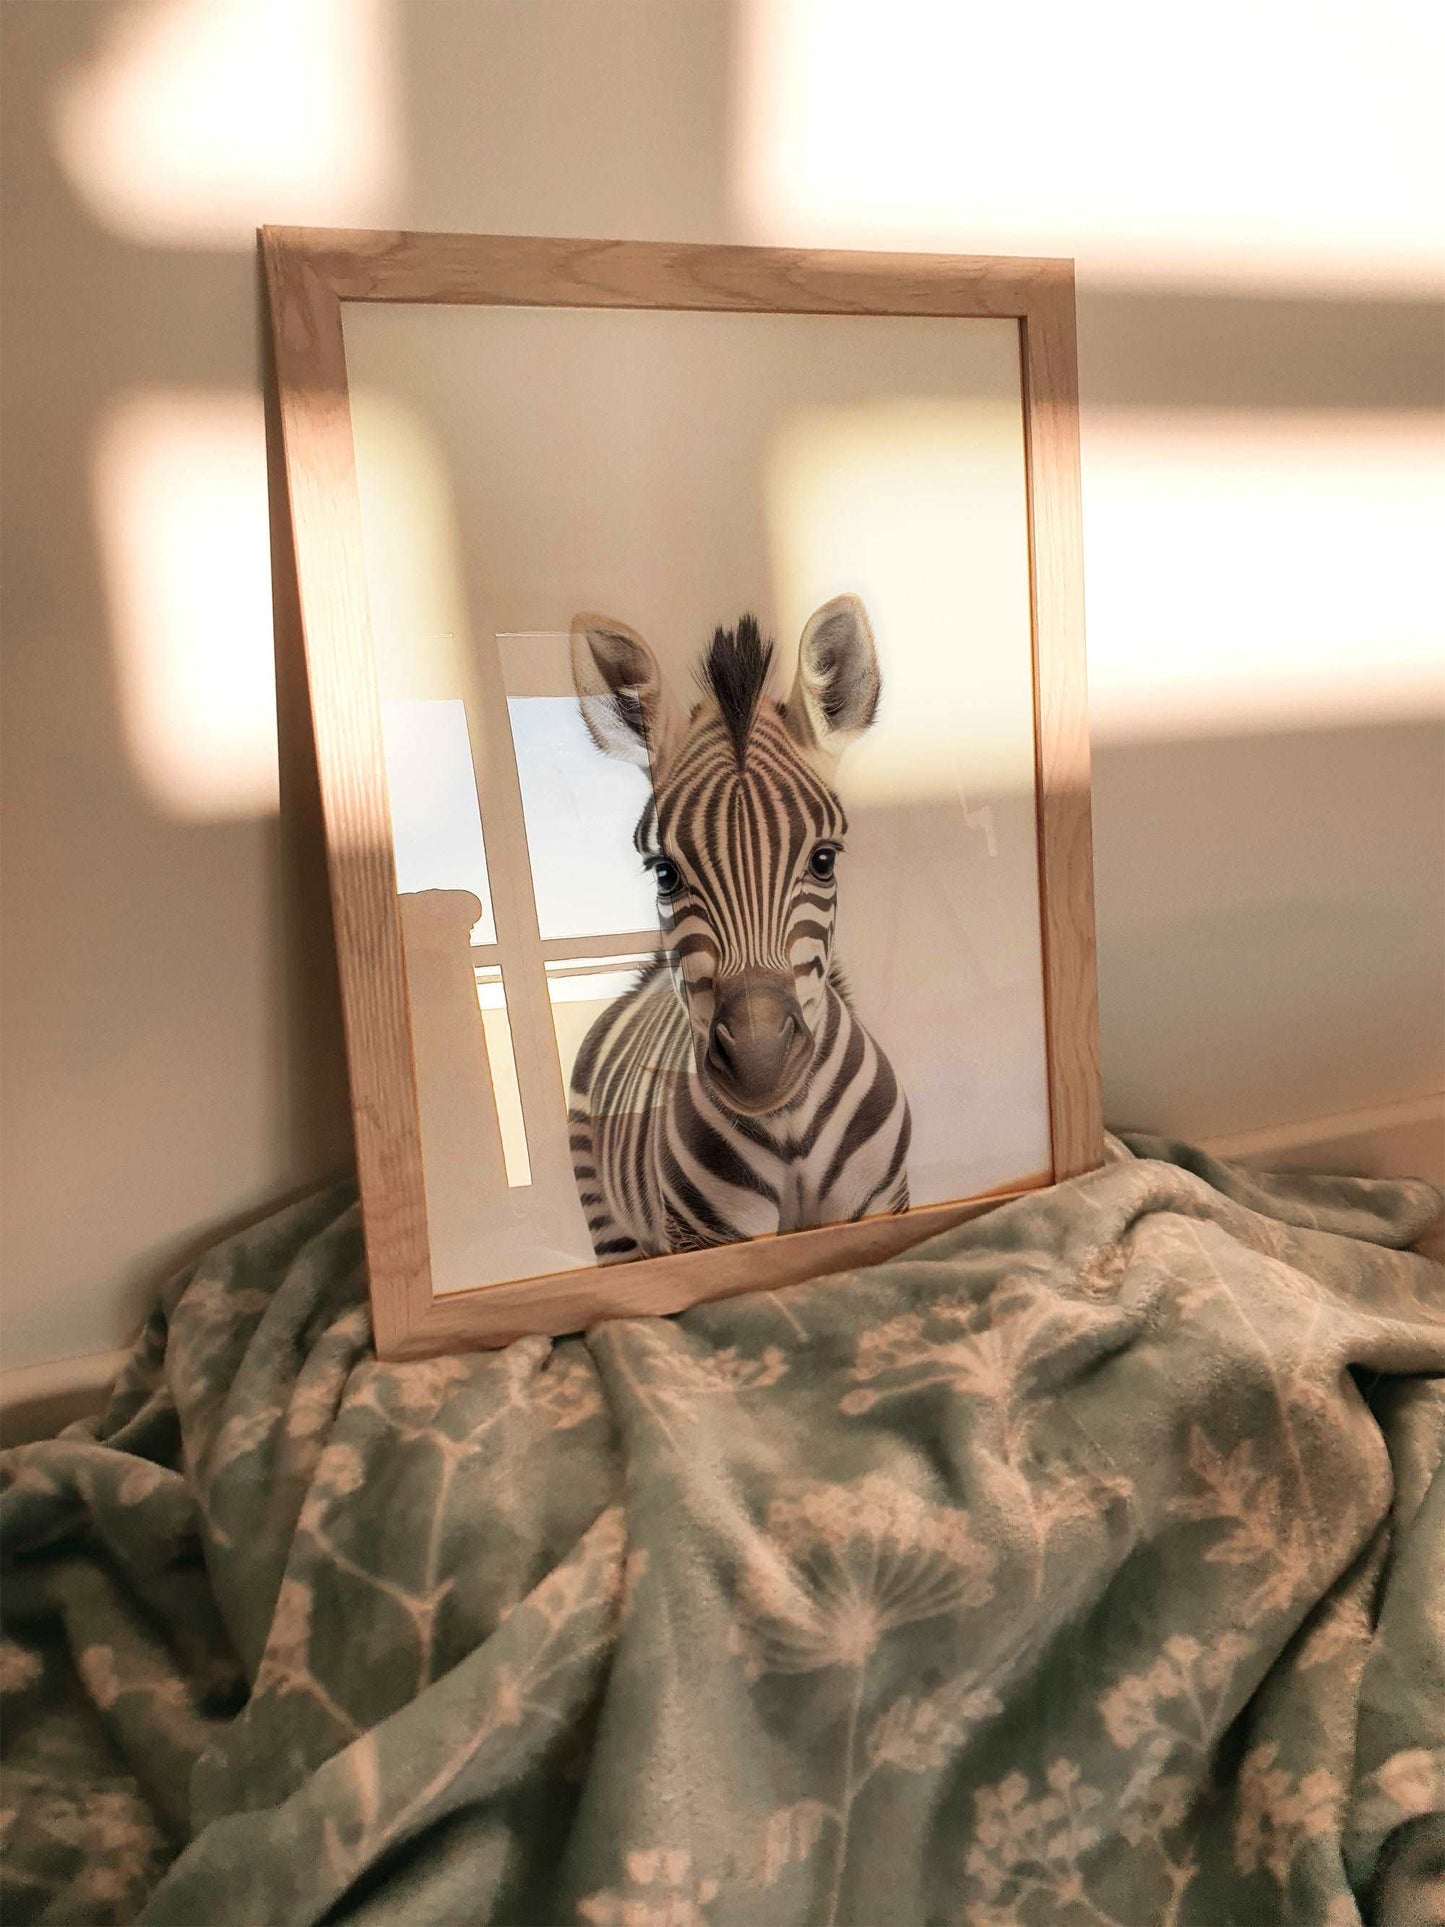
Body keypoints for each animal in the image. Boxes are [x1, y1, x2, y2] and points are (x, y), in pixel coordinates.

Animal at [566, 594, 911, 1264]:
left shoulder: (884, 1204)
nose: (760, 1064)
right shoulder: (705, 1236)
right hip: (610, 1224)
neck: (789, 1129)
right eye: (665, 873)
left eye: (824, 860)